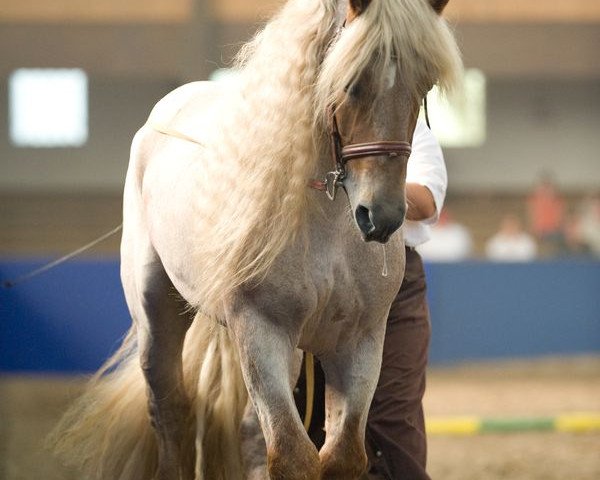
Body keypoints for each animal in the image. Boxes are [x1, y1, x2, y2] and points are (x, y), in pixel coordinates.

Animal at [51, 0, 462, 480]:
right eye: (351, 82)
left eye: (424, 85)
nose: (381, 215)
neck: (326, 227)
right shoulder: (262, 331)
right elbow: (292, 456)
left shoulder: (359, 341)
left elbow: (341, 455)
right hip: (158, 313)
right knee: (171, 412)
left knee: (245, 430)